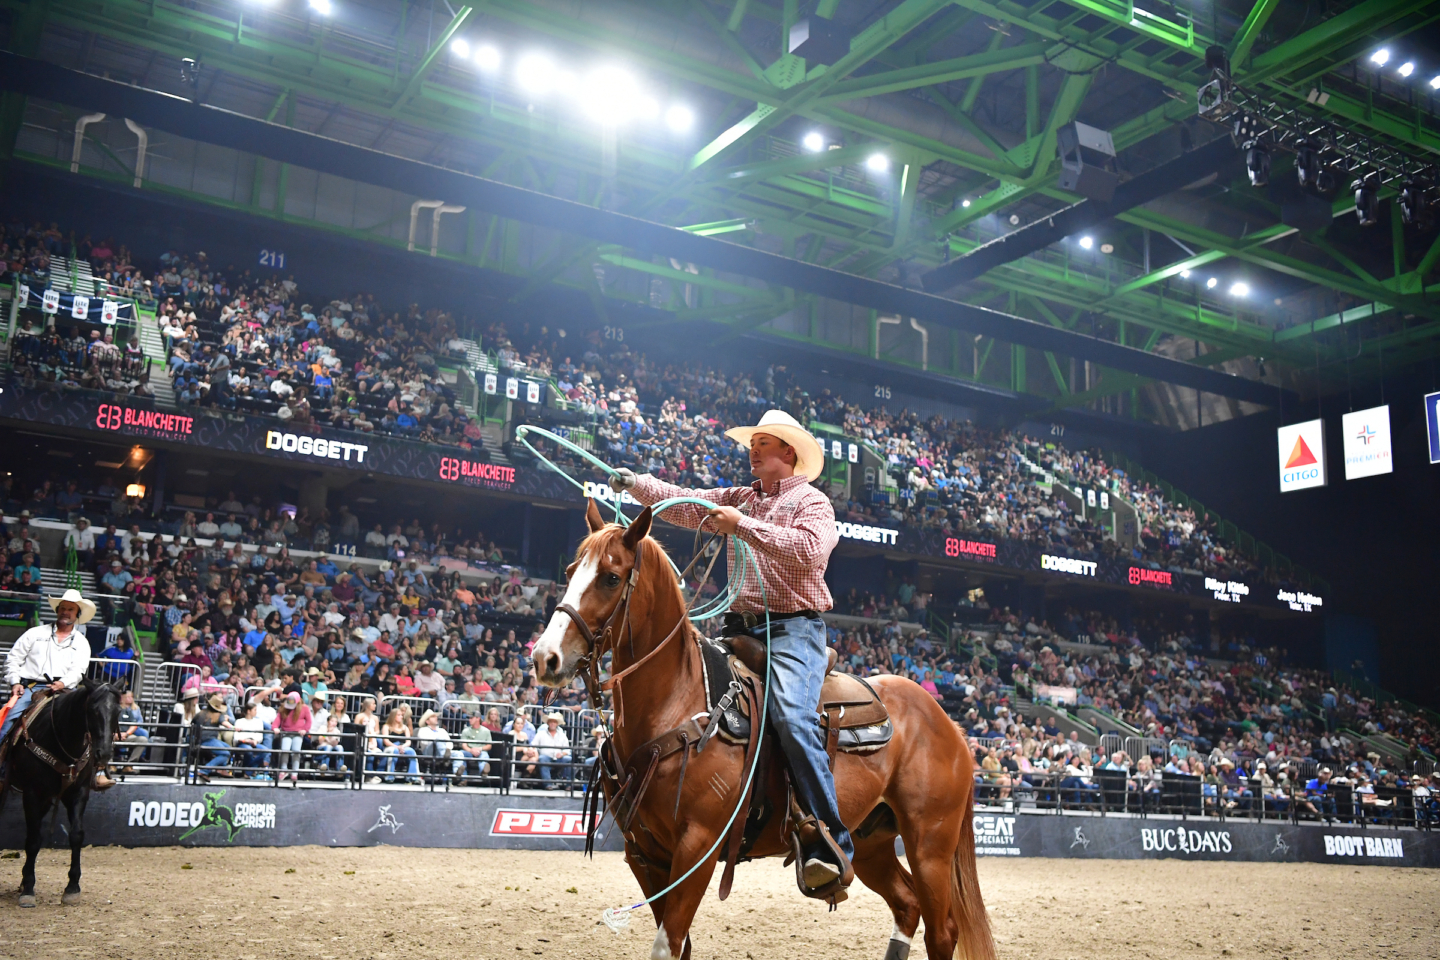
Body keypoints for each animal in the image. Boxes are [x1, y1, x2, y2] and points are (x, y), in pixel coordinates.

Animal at [1, 679, 119, 903]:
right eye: (92, 710)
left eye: (118, 710)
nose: (104, 753)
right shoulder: (32, 793)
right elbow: (34, 840)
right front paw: (29, 888)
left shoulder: (78, 792)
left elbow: (76, 835)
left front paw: (72, 887)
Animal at [535, 503, 996, 960]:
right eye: (571, 570)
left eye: (611, 577)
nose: (545, 658)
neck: (679, 700)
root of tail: (949, 723)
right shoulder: (644, 854)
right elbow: (679, 945)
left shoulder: (698, 847)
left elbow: (667, 945)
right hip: (870, 843)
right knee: (906, 904)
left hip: (930, 843)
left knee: (942, 931)